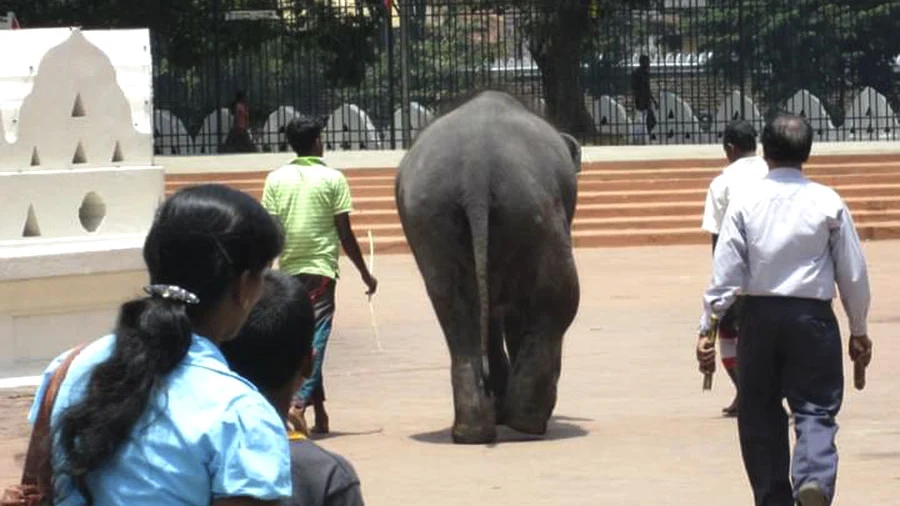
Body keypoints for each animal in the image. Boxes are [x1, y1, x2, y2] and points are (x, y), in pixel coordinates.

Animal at [394, 90, 581, 444]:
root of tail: (476, 170)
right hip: (535, 209)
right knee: (556, 300)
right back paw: (527, 423)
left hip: (430, 215)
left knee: (455, 308)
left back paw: (471, 431)